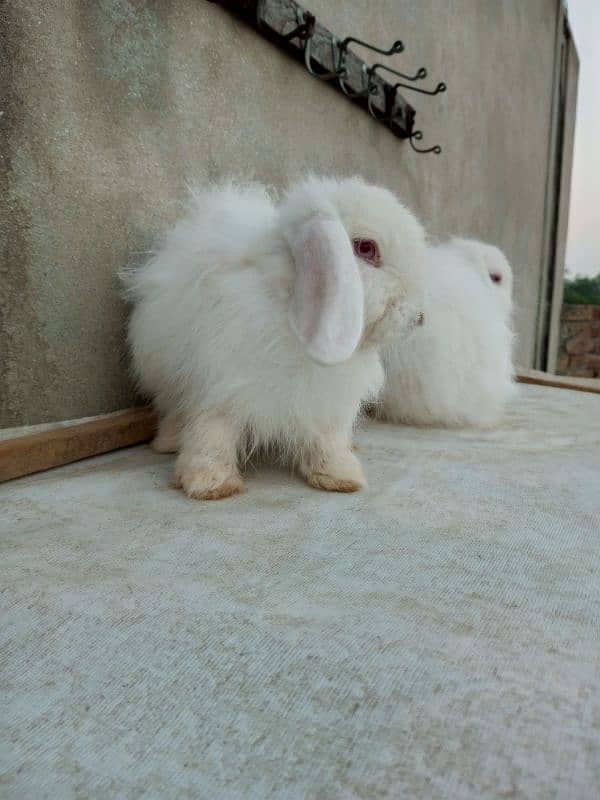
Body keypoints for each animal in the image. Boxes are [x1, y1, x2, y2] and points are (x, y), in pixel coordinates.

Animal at [124, 178, 426, 496]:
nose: (419, 317)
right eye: (366, 248)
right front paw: (211, 484)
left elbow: (326, 440)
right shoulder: (220, 386)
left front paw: (340, 476)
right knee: (173, 410)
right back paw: (168, 443)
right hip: (165, 375)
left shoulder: (324, 403)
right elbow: (211, 433)